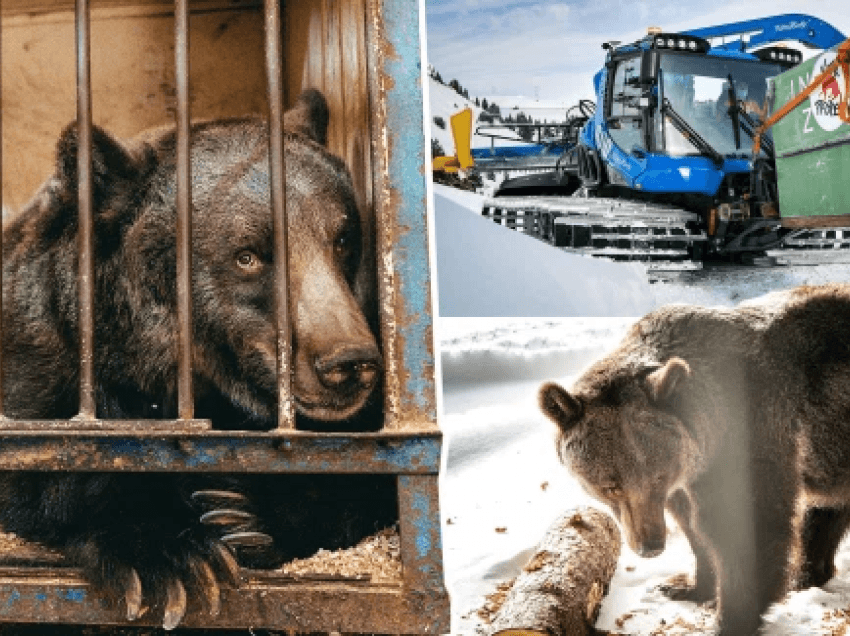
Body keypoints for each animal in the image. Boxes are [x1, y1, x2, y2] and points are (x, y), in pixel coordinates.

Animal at [0, 90, 392, 632]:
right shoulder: (44, 354)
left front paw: (243, 514)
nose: (348, 362)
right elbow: (43, 454)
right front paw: (171, 556)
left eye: (342, 237)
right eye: (248, 255)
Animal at [540, 286, 848, 636]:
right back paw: (806, 574)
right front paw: (687, 585)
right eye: (611, 486)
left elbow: (747, 522)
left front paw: (731, 618)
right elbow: (692, 524)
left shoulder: (752, 432)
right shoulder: (688, 471)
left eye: (656, 477)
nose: (650, 545)